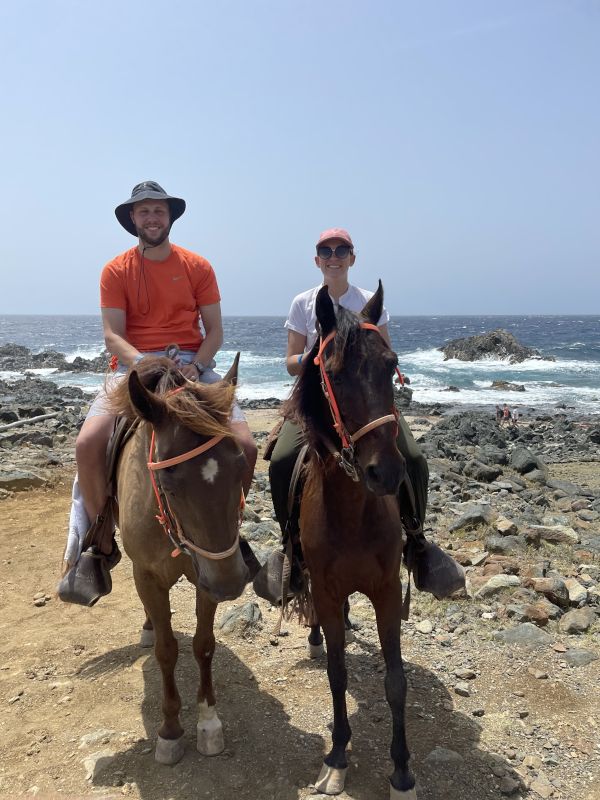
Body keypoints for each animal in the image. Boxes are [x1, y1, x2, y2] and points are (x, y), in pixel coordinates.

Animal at [108, 354, 248, 764]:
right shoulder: (148, 576)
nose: (231, 583)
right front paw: (170, 730)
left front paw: (208, 722)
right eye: (168, 484)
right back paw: (148, 627)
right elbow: (167, 650)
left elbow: (203, 644)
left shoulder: (207, 576)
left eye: (241, 466)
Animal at [286, 284, 418, 796]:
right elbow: (337, 674)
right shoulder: (324, 589)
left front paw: (402, 770)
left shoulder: (385, 590)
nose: (386, 472)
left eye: (390, 364)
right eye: (335, 375)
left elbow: (396, 681)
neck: (352, 513)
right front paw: (338, 755)